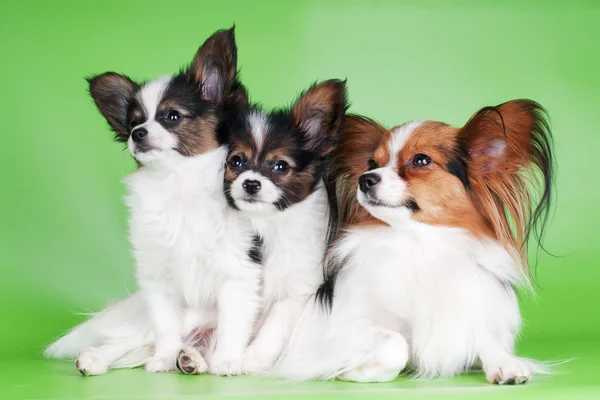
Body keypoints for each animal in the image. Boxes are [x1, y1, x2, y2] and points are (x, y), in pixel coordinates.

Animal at [45, 27, 262, 376]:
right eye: (133, 123)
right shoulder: (159, 280)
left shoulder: (238, 275)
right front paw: (163, 359)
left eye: (172, 116)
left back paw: (193, 360)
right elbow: (164, 327)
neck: (179, 185)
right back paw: (102, 358)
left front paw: (228, 362)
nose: (138, 134)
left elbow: (232, 325)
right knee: (138, 340)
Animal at [173, 79, 350, 374]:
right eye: (235, 162)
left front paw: (254, 358)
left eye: (280, 166)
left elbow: (274, 325)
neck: (266, 224)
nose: (251, 183)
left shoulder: (298, 292)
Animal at [274, 100, 556, 384]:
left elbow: (484, 337)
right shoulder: (339, 328)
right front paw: (354, 369)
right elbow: (395, 345)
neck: (418, 241)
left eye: (421, 160)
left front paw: (504, 362)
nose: (365, 179)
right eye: (372, 163)